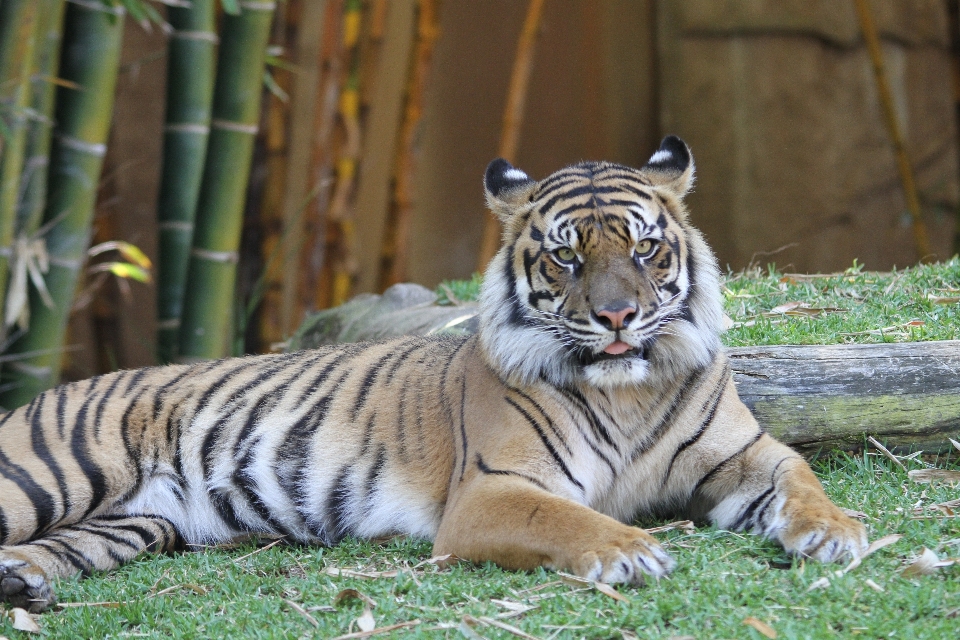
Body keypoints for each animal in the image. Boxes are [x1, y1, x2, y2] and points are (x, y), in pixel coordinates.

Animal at [1, 136, 872, 608]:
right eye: (567, 257)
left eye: (645, 248)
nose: (619, 317)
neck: (626, 391)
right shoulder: (494, 490)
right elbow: (567, 520)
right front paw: (629, 550)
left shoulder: (749, 454)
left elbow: (802, 480)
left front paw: (835, 532)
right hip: (47, 478)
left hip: (130, 522)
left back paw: (22, 582)